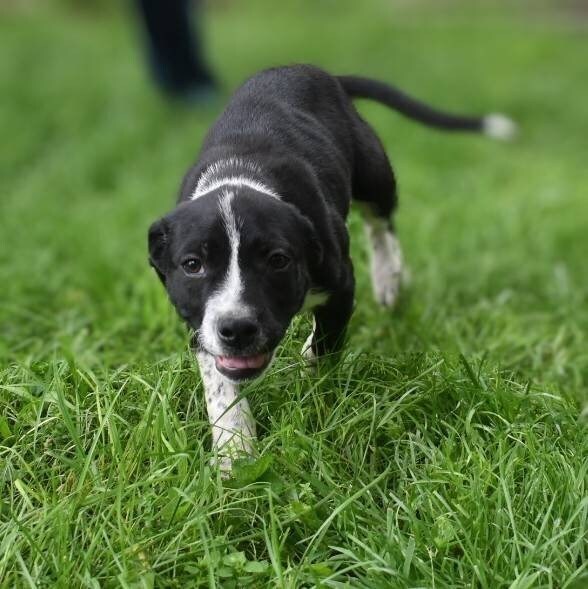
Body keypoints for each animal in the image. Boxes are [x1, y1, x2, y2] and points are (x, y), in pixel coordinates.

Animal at [148, 63, 516, 474]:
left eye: (278, 260)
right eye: (192, 265)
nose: (238, 328)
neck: (240, 176)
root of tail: (315, 71)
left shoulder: (340, 285)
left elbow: (325, 344)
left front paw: (311, 382)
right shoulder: (200, 322)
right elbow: (220, 385)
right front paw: (235, 452)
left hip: (374, 171)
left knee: (381, 220)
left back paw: (389, 277)